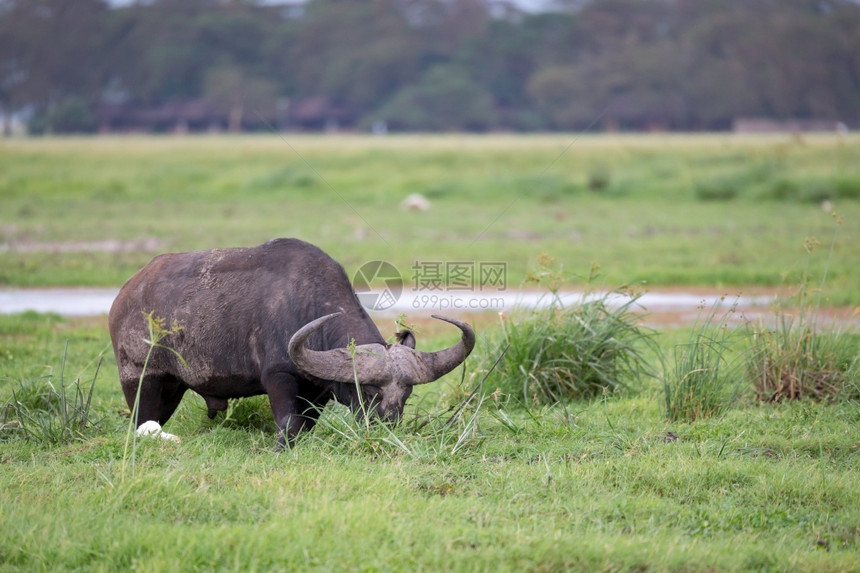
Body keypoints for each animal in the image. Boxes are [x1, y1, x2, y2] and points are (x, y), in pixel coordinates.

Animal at [109, 237, 478, 446]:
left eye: (407, 393)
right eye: (369, 390)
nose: (386, 424)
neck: (306, 305)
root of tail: (124, 296)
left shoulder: (317, 393)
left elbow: (305, 426)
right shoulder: (279, 377)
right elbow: (288, 424)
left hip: (173, 388)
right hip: (140, 378)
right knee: (141, 420)